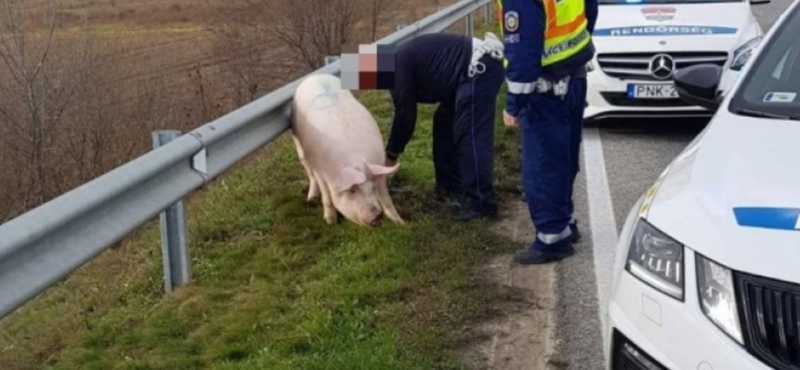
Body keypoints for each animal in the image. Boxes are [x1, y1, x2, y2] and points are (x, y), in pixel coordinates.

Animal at [290, 73, 406, 227]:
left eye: (372, 187)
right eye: (352, 190)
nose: (376, 216)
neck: (353, 160)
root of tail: (316, 75)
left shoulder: (378, 164)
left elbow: (385, 197)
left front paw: (401, 223)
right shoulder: (320, 170)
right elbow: (327, 196)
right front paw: (330, 222)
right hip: (298, 143)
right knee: (309, 171)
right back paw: (311, 198)